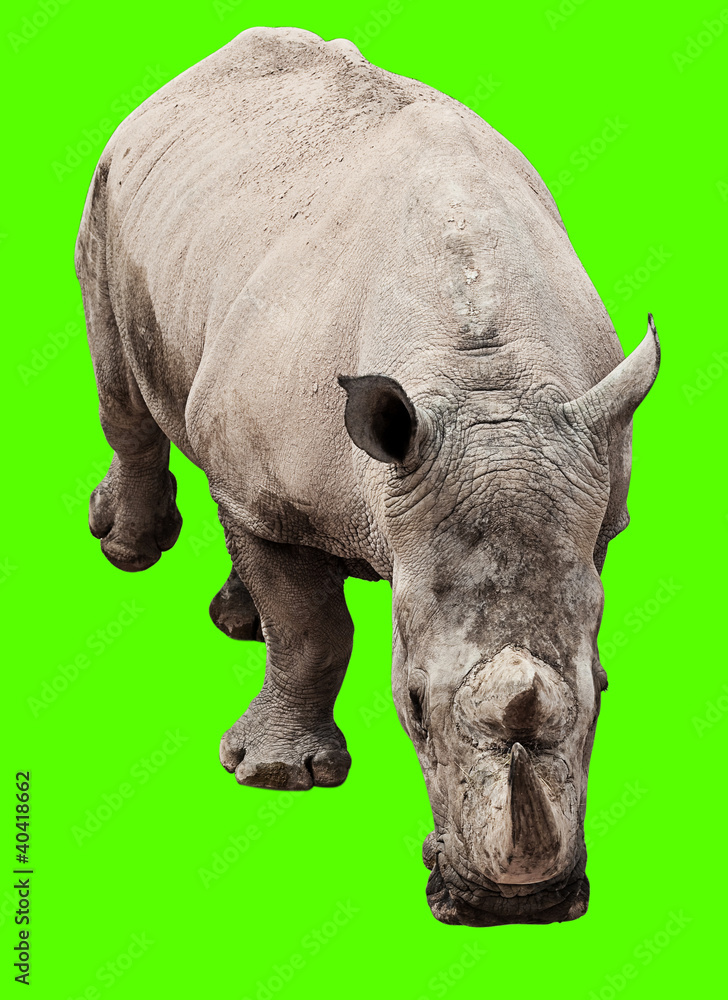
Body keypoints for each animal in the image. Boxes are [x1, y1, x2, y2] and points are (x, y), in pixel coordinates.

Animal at [75, 27, 659, 926]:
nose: (517, 909)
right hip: (110, 188)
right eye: (411, 707)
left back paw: (235, 619)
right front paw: (276, 776)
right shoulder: (269, 498)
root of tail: (211, 59)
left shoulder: (588, 497)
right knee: (125, 386)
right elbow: (311, 629)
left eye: (606, 698)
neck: (482, 386)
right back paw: (130, 551)